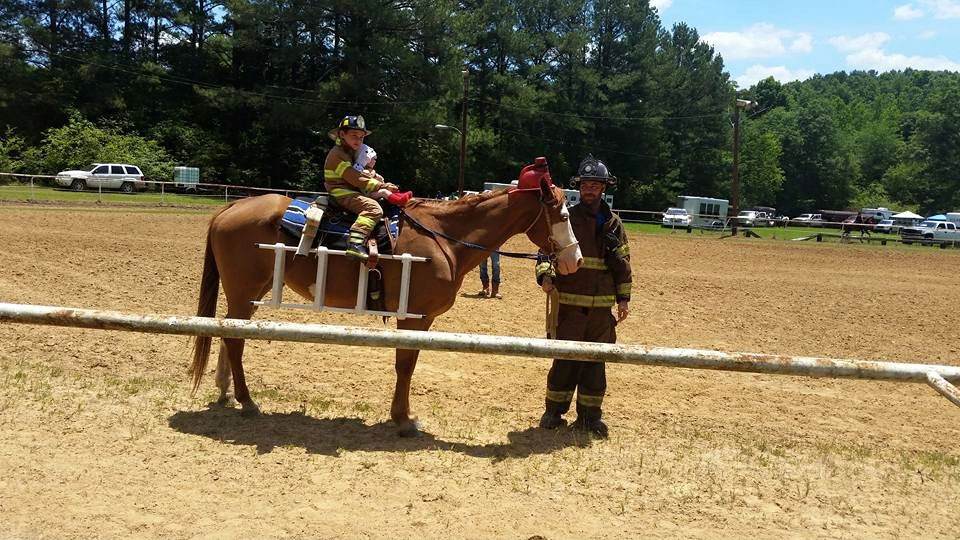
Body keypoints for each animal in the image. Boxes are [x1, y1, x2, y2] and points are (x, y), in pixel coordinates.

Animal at [187, 179, 576, 436]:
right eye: (563, 214)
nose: (575, 259)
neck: (444, 237)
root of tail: (232, 207)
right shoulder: (415, 318)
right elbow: (406, 366)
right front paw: (403, 419)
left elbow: (408, 365)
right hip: (244, 293)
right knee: (234, 340)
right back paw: (247, 400)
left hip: (248, 296)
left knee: (228, 333)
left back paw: (226, 392)